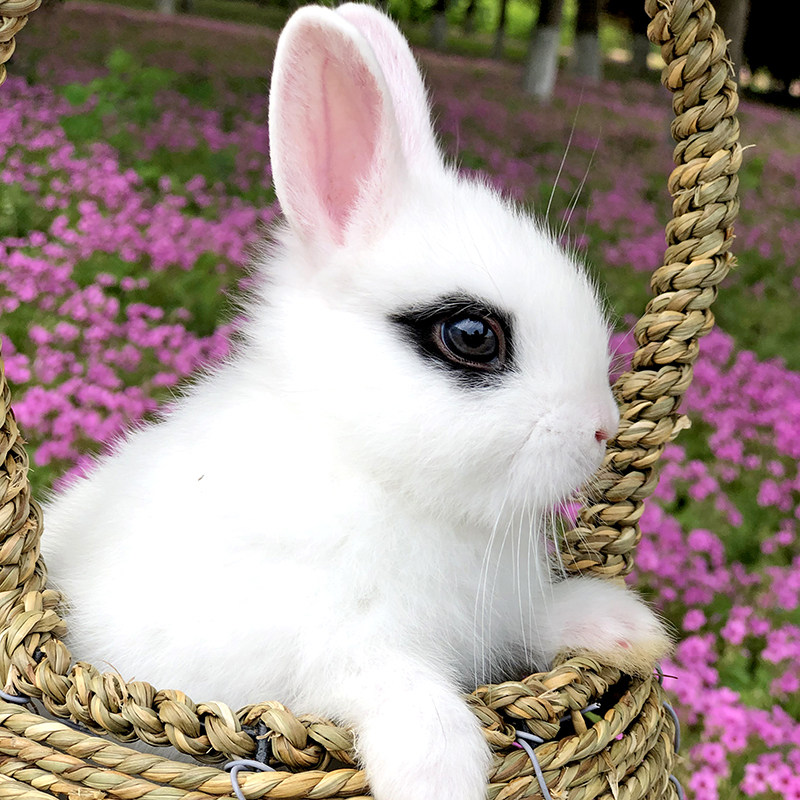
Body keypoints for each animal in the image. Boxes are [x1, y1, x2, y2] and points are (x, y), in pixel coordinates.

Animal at [41, 5, 671, 800]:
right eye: (473, 335)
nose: (601, 429)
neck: (371, 466)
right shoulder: (322, 645)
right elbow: (390, 685)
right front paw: (440, 776)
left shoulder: (498, 617)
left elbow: (536, 621)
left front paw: (628, 630)